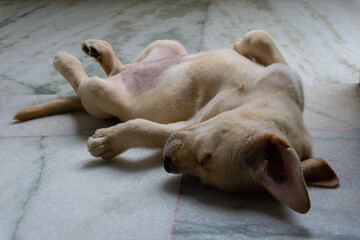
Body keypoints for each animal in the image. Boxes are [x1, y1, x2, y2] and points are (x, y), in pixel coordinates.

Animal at [14, 30, 338, 214]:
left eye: (203, 171)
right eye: (207, 157)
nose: (167, 163)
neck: (265, 101)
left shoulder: (186, 125)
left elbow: (145, 129)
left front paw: (108, 141)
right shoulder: (284, 74)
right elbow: (260, 39)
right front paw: (242, 42)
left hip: (101, 95)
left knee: (88, 84)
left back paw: (66, 60)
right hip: (168, 45)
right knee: (121, 66)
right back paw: (98, 49)